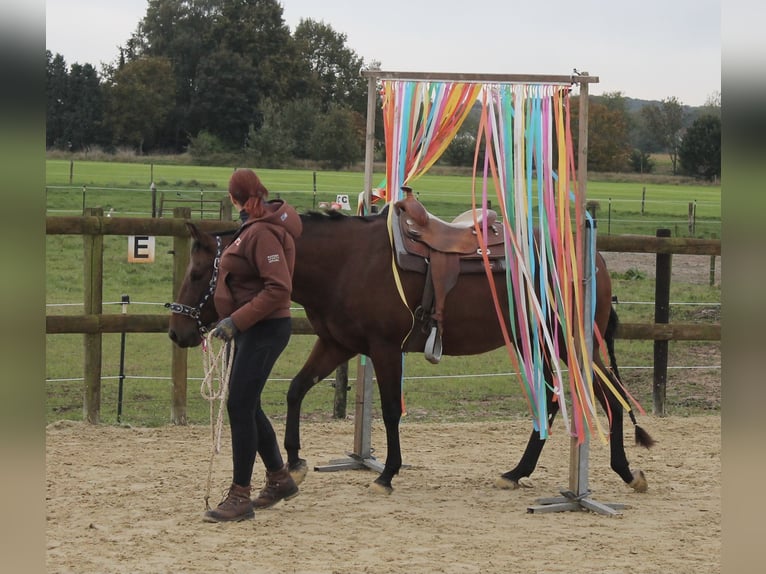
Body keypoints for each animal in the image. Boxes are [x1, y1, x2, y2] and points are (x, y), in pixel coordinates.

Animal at [168, 195, 654, 495]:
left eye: (199, 273)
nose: (178, 331)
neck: (346, 262)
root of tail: (595, 258)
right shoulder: (337, 344)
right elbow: (295, 390)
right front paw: (296, 460)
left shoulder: (385, 349)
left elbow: (388, 410)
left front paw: (386, 473)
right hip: (535, 343)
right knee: (554, 403)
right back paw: (518, 473)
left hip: (571, 344)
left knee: (609, 399)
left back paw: (625, 472)